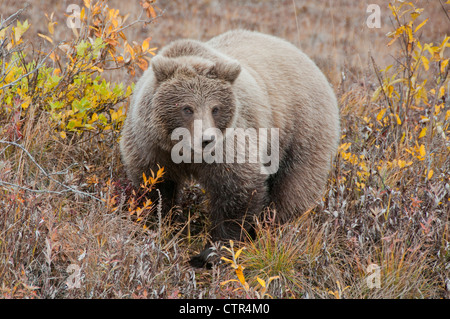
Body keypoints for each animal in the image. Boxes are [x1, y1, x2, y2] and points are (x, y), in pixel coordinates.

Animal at [119, 30, 342, 266]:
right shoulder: (150, 147)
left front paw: (213, 252)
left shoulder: (230, 144)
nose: (206, 139)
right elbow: (155, 187)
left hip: (302, 131)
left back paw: (277, 230)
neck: (184, 150)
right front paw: (162, 226)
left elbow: (237, 189)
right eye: (187, 108)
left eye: (215, 108)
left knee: (294, 189)